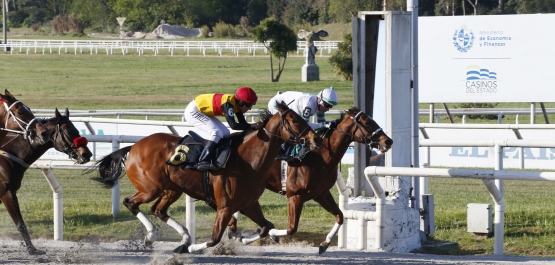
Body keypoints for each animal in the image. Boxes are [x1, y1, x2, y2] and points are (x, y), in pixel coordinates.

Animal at [0, 108, 92, 254]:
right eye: (70, 132)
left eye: (77, 130)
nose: (87, 154)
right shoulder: (7, 192)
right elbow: (20, 223)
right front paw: (32, 249)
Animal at [92, 102, 324, 253]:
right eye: (294, 119)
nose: (316, 139)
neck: (248, 160)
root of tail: (133, 147)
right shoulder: (225, 205)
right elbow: (214, 238)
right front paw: (194, 247)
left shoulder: (249, 204)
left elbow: (265, 227)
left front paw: (242, 237)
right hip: (150, 188)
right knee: (130, 203)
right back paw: (152, 236)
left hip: (172, 189)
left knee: (158, 210)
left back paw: (183, 237)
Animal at [228, 106, 394, 253]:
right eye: (367, 122)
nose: (388, 141)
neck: (321, 157)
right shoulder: (295, 196)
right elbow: (291, 228)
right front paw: (270, 235)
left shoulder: (321, 194)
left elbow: (340, 216)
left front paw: (324, 244)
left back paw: (233, 228)